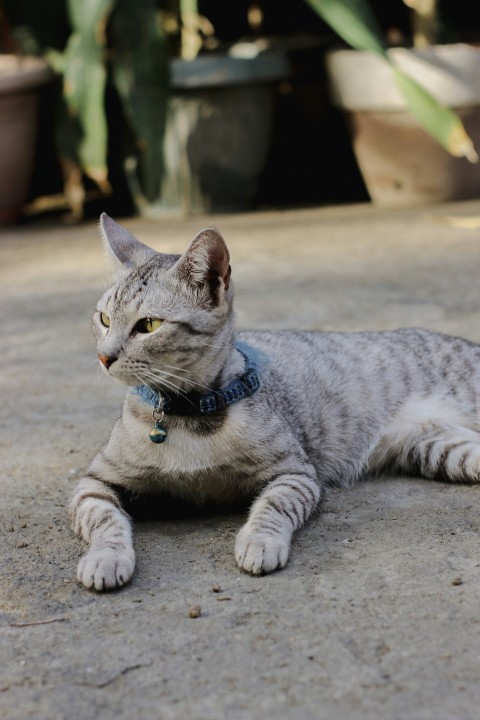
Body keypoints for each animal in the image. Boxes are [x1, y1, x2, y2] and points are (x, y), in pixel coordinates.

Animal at [70, 212, 480, 592]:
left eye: (149, 325)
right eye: (103, 318)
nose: (104, 357)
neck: (190, 413)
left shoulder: (296, 473)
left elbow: (273, 506)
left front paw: (259, 540)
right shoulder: (94, 482)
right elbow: (103, 519)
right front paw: (106, 557)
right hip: (439, 450)